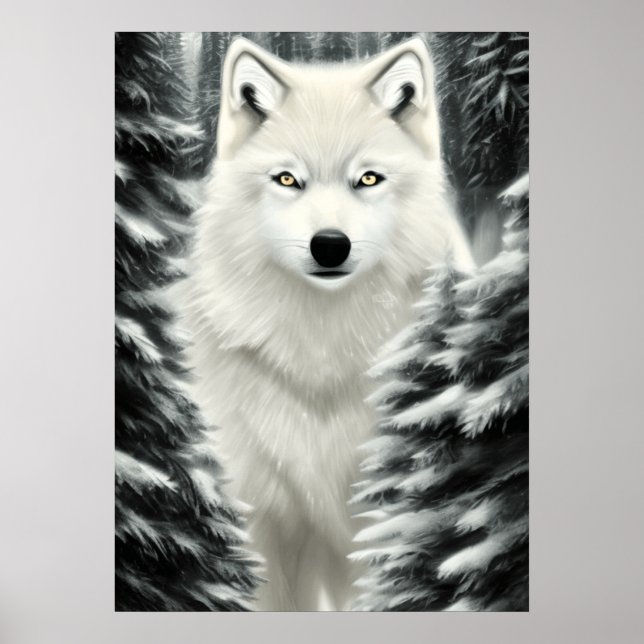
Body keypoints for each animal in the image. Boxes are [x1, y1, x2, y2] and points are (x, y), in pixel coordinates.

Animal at [179, 36, 474, 610]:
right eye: (288, 179)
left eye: (368, 178)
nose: (330, 245)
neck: (323, 348)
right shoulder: (261, 517)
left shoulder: (378, 520)